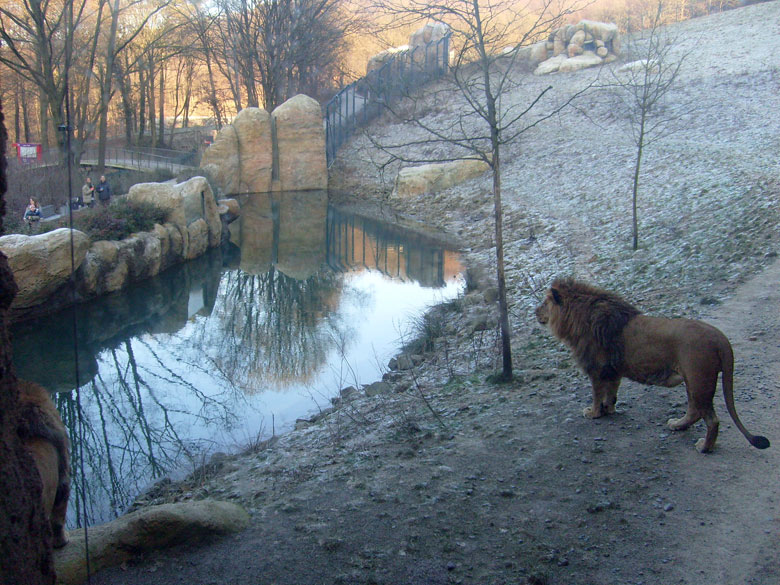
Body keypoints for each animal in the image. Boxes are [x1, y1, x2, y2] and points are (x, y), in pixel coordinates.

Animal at [532, 278, 772, 452]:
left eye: (545, 303)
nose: (535, 312)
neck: (577, 319)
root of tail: (720, 337)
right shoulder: (613, 371)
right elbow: (611, 394)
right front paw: (609, 410)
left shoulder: (597, 370)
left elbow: (597, 394)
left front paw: (593, 413)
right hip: (694, 382)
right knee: (694, 411)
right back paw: (677, 425)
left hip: (699, 381)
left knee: (712, 420)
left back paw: (704, 447)